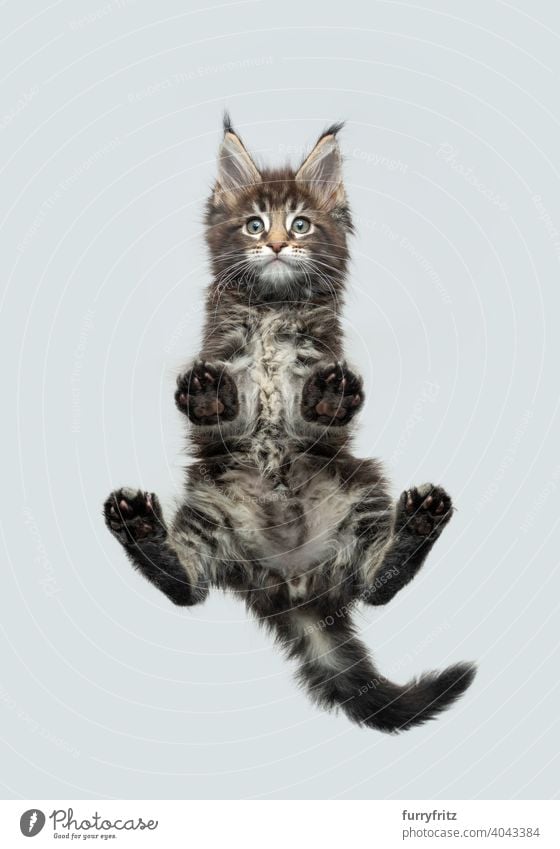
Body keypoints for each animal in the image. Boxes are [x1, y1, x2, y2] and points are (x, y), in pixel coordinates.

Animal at [103, 116, 474, 732]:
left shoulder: (321, 382)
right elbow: (221, 417)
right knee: (187, 588)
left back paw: (417, 525)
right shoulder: (223, 373)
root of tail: (291, 583)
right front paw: (208, 395)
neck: (274, 311)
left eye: (300, 223)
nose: (276, 244)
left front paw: (327, 397)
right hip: (210, 505)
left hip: (358, 486)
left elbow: (316, 419)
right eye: (254, 225)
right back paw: (141, 528)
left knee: (376, 586)